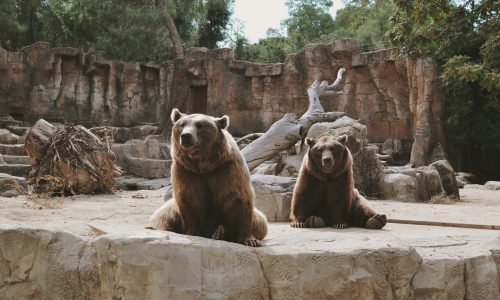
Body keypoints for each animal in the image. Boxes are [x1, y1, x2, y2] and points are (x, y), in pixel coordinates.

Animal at [148, 108, 268, 246]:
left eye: (200, 125)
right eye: (182, 124)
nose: (186, 136)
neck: (204, 165)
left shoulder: (228, 168)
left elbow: (239, 198)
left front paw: (250, 240)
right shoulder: (186, 171)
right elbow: (190, 198)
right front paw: (193, 232)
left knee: (261, 222)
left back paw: (220, 232)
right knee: (161, 218)